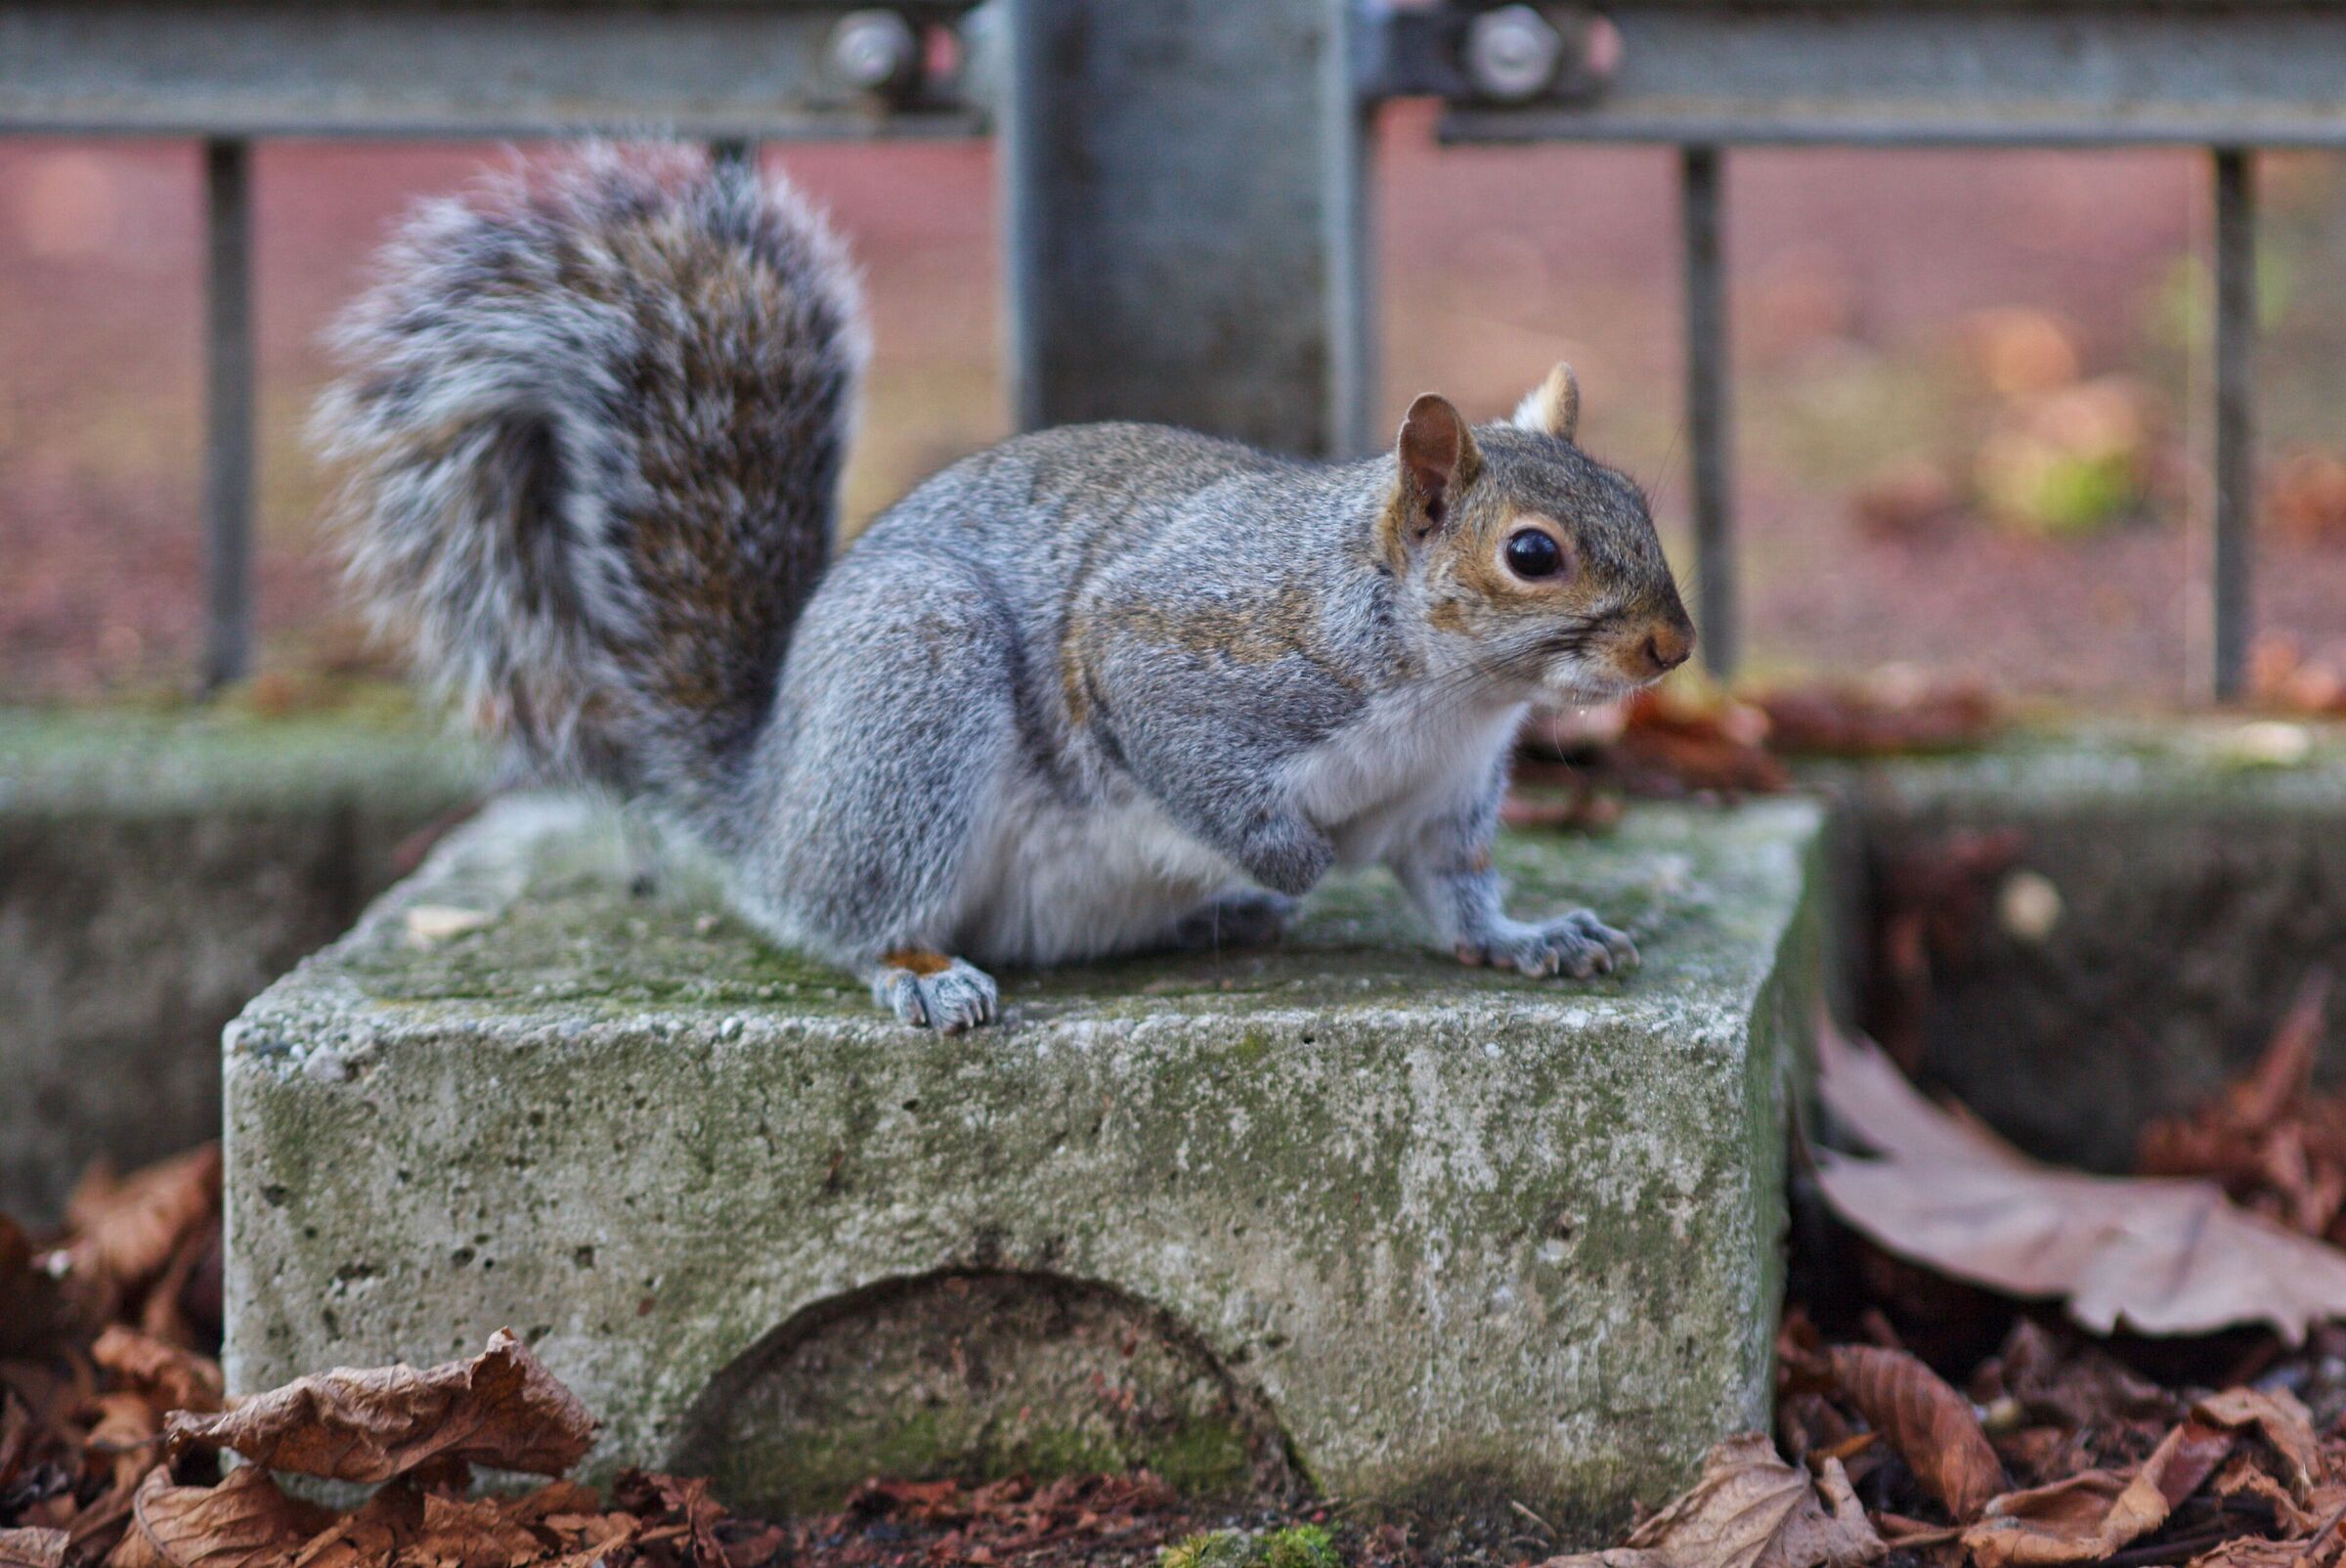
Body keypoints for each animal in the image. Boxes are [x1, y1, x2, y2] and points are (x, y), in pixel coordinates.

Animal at [317, 145, 1696, 1034]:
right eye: (1532, 554)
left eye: (1637, 500)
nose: (1673, 648)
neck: (1448, 692)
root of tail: (768, 798)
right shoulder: (1187, 655)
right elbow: (1191, 761)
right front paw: (1294, 856)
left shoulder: (1447, 797)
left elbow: (1458, 891)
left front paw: (1532, 937)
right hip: (913, 699)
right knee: (856, 911)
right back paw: (929, 967)